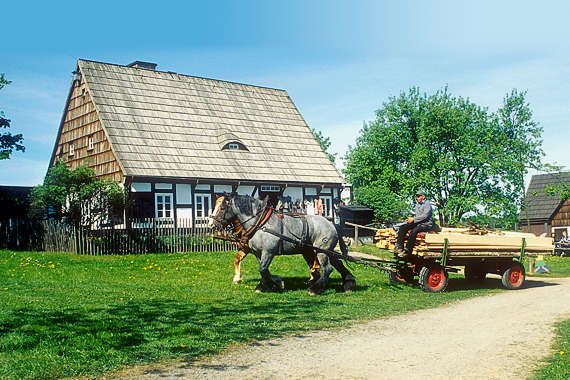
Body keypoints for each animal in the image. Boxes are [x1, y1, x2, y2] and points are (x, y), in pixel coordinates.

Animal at [206, 194, 352, 296]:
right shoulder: (258, 253)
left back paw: (316, 289)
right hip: (324, 251)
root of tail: (331, 223)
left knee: (327, 269)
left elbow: (262, 269)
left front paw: (270, 284)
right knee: (337, 264)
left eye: (222, 208)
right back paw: (348, 283)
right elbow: (264, 270)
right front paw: (271, 283)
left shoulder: (268, 252)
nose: (211, 225)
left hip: (321, 251)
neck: (260, 224)